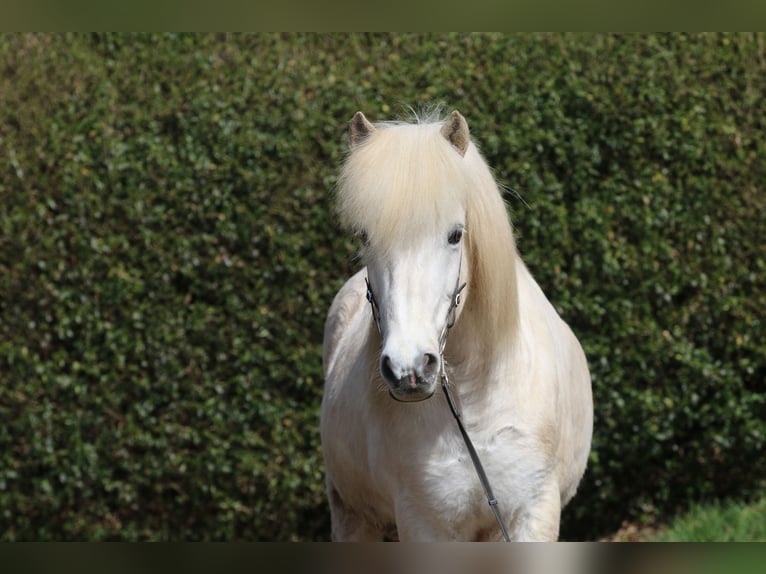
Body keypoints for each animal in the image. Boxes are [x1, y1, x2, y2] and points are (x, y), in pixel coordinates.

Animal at [320, 110, 593, 541]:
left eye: (454, 235)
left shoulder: (533, 513)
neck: (473, 404)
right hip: (351, 517)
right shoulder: (424, 522)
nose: (409, 369)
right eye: (364, 237)